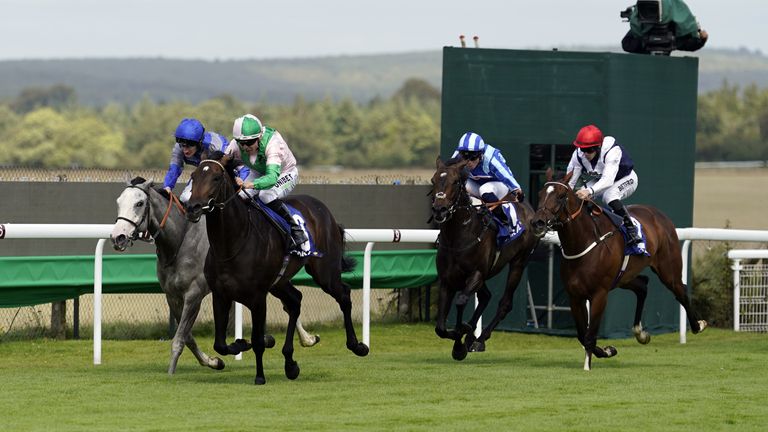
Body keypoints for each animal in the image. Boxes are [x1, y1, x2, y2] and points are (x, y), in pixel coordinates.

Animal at [109, 178, 318, 374]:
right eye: (118, 201)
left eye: (139, 203)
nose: (118, 236)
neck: (180, 242)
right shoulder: (172, 296)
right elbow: (188, 337)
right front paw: (213, 361)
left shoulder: (194, 295)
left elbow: (180, 337)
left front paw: (171, 373)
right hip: (273, 281)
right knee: (291, 301)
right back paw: (304, 338)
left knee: (288, 303)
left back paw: (303, 338)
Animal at [184, 152, 368, 384]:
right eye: (194, 176)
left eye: (216, 178)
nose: (193, 207)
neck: (232, 244)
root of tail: (323, 211)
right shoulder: (220, 294)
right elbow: (221, 344)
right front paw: (241, 343)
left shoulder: (257, 296)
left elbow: (258, 341)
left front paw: (260, 376)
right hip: (279, 282)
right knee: (296, 301)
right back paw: (290, 364)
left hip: (325, 273)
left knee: (343, 294)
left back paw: (357, 346)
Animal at [432, 158, 540, 362]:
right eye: (433, 181)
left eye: (455, 182)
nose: (439, 209)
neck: (460, 235)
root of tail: (529, 209)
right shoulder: (447, 279)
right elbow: (440, 328)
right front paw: (461, 336)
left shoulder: (476, 274)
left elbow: (461, 301)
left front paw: (459, 342)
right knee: (486, 296)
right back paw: (470, 336)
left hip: (518, 263)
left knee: (504, 303)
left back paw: (479, 339)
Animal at [532, 169, 704, 372]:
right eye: (540, 194)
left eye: (560, 196)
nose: (538, 222)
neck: (584, 241)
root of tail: (659, 215)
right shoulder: (575, 296)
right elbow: (582, 334)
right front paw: (607, 351)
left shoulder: (599, 294)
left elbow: (590, 334)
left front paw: (587, 366)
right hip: (624, 277)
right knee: (642, 286)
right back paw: (640, 333)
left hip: (668, 269)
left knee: (680, 290)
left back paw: (698, 325)